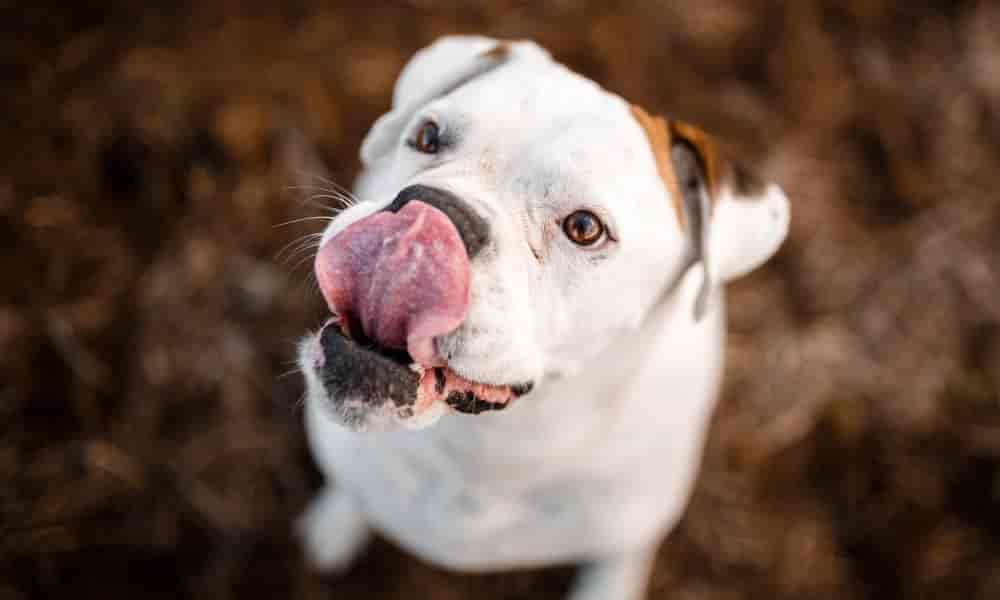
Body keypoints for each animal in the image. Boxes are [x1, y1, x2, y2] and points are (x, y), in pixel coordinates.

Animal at [296, 36, 788, 600]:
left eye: (584, 228)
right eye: (427, 136)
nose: (433, 209)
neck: (494, 449)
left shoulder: (632, 524)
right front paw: (337, 522)